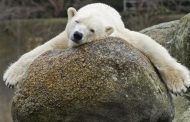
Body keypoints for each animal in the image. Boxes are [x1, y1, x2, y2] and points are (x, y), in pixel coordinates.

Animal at [3, 3, 190, 94]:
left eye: (92, 30)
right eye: (77, 21)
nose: (77, 35)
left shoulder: (118, 33)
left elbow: (148, 44)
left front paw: (180, 83)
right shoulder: (65, 36)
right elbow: (45, 48)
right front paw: (10, 77)